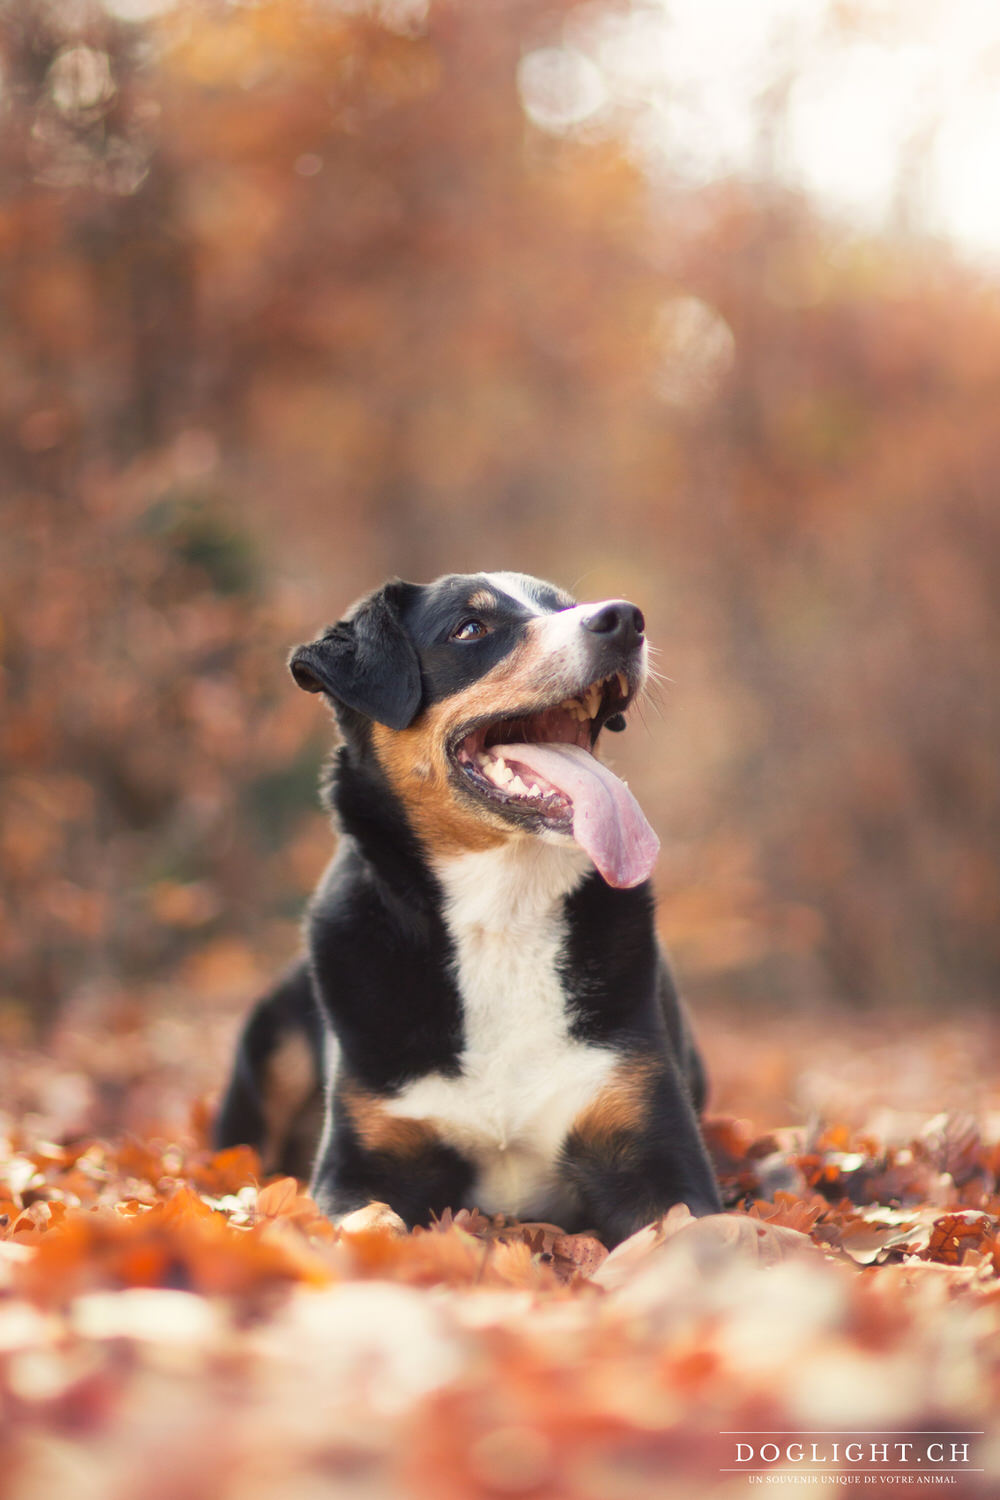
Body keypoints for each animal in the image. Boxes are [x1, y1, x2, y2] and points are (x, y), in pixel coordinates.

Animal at [217, 567, 719, 1248]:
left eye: (565, 605)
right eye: (470, 627)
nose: (623, 619)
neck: (501, 919)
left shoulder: (651, 1151)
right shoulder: (360, 1167)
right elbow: (371, 1224)